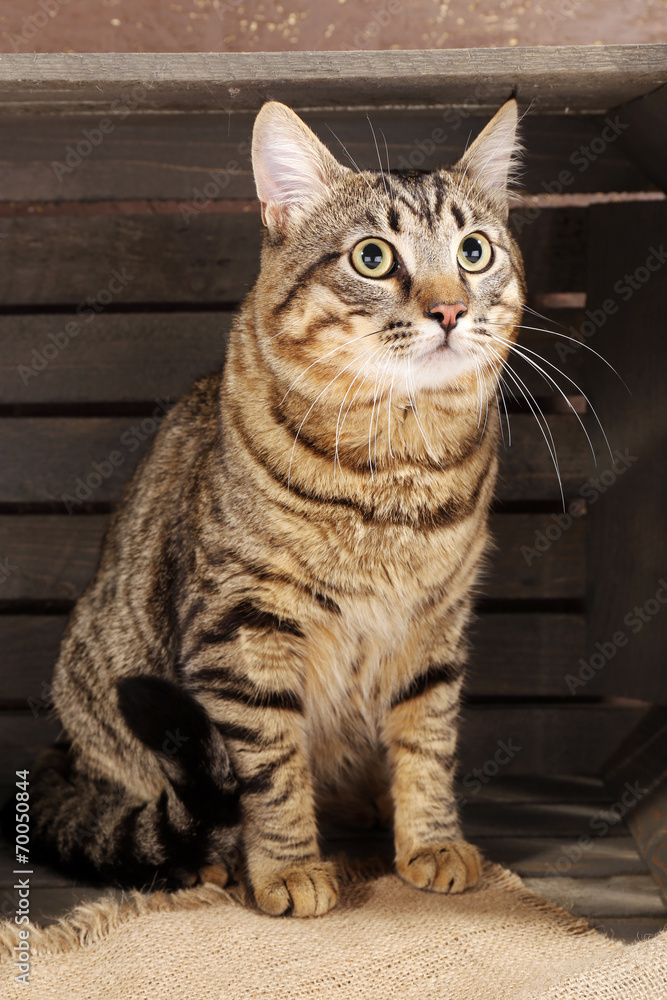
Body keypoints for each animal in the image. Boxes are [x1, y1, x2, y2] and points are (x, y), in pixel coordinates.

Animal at [19, 97, 528, 916]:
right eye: (373, 257)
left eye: (474, 251)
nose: (450, 309)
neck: (397, 467)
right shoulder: (243, 628)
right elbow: (271, 767)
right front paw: (288, 868)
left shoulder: (435, 623)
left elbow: (427, 740)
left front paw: (431, 840)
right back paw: (207, 861)